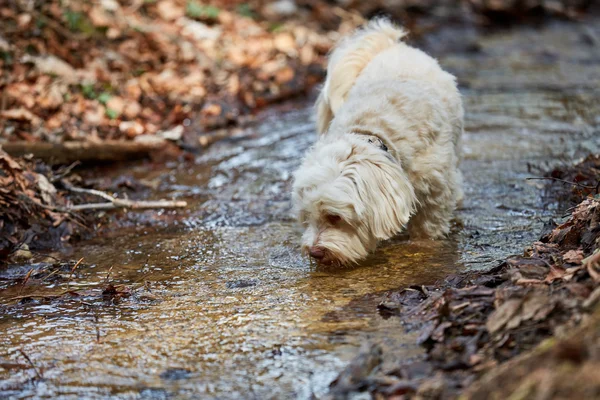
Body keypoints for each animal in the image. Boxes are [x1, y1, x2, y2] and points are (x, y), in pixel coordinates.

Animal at [292, 20, 464, 268]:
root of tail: (389, 44)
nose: (314, 252)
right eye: (307, 216)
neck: (373, 129)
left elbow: (428, 227)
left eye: (334, 216)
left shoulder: (435, 188)